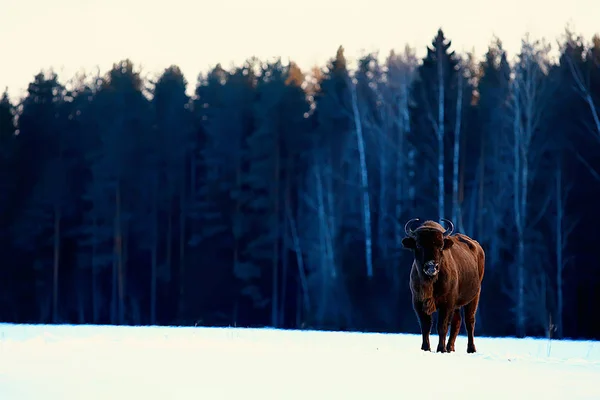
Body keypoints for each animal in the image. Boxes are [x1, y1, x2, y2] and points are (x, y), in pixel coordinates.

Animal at [400, 219, 486, 354]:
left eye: (440, 246)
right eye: (418, 245)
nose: (431, 267)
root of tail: (477, 247)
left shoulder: (447, 303)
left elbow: (442, 326)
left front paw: (441, 349)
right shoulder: (418, 302)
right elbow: (425, 326)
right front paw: (426, 348)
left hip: (474, 297)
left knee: (469, 321)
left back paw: (471, 349)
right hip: (457, 305)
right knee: (457, 322)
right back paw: (450, 348)